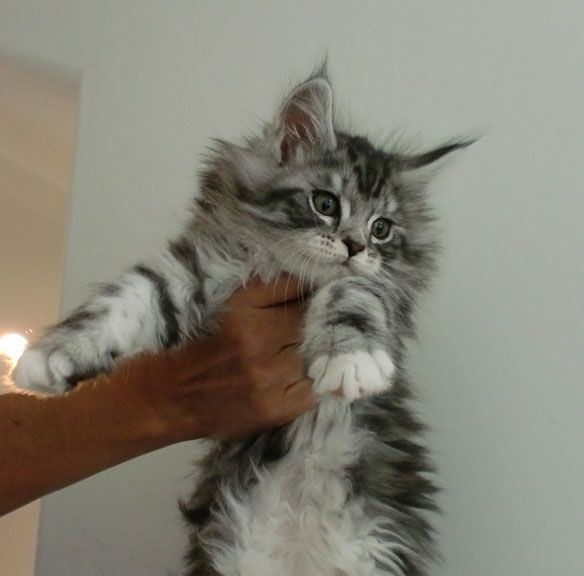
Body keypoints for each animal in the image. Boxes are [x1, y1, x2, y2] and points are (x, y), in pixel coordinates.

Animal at [12, 68, 470, 576]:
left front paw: (352, 361)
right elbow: (126, 298)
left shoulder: (384, 290)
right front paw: (50, 355)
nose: (355, 246)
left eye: (382, 229)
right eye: (326, 203)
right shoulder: (194, 268)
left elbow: (352, 293)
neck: (278, 266)